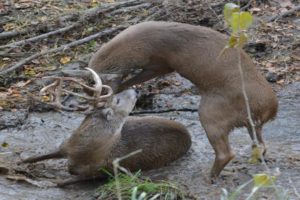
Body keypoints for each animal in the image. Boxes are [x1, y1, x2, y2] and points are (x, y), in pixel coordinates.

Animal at [21, 68, 191, 186]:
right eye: (117, 100)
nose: (136, 88)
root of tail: (188, 134)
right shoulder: (65, 145)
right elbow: (31, 158)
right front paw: (20, 164)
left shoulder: (103, 170)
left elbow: (60, 183)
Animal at [87, 21, 278, 180]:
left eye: (95, 85)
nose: (94, 105)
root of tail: (270, 109)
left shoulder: (160, 62)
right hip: (250, 124)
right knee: (261, 145)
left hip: (209, 112)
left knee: (226, 153)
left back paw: (209, 176)